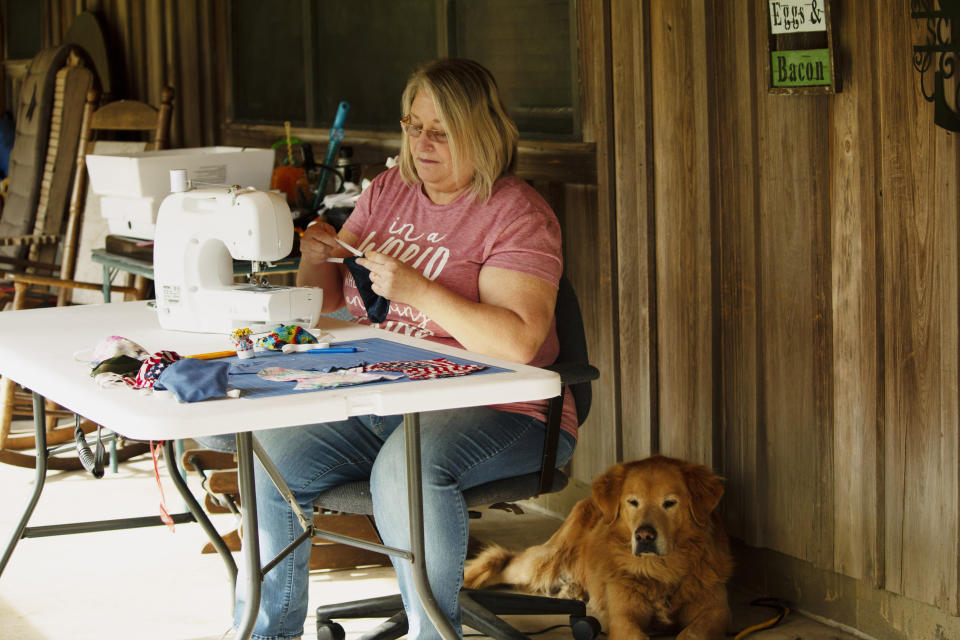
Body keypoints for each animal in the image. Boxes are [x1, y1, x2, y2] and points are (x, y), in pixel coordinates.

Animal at [464, 456, 736, 640]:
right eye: (633, 502)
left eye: (669, 503)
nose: (644, 536)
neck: (662, 570)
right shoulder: (623, 616)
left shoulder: (716, 611)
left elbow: (693, 633)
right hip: (545, 561)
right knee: (502, 559)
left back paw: (573, 590)